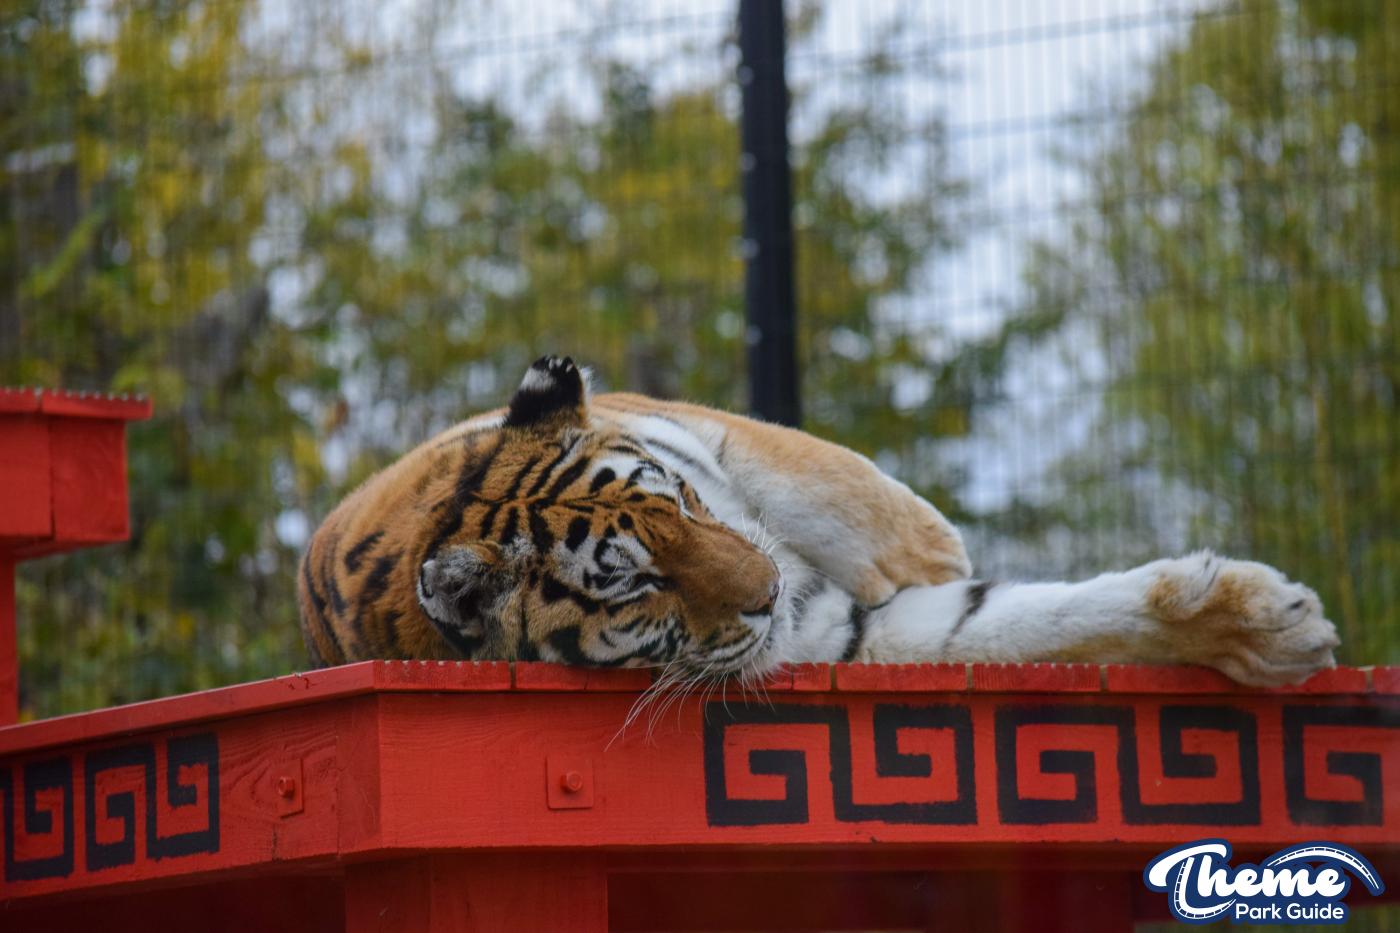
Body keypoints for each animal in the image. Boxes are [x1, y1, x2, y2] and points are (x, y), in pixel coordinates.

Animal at [298, 355, 1340, 687]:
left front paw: (1272, 630)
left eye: (681, 505)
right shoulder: (836, 638)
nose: (769, 594)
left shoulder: (708, 439)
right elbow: (1000, 623)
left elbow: (826, 485)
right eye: (633, 580)